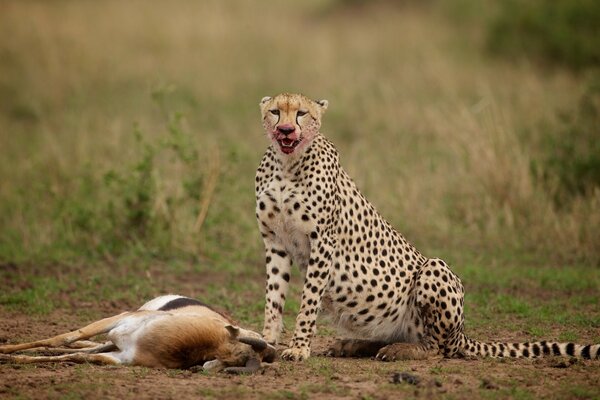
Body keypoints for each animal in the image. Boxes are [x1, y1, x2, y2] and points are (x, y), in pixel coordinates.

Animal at [255, 93, 600, 362]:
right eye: (276, 112)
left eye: (302, 113)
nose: (286, 129)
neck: (287, 165)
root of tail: (462, 334)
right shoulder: (275, 242)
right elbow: (274, 297)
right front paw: (267, 342)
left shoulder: (322, 241)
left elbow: (308, 301)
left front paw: (299, 348)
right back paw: (353, 345)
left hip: (434, 269)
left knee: (438, 348)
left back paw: (401, 351)